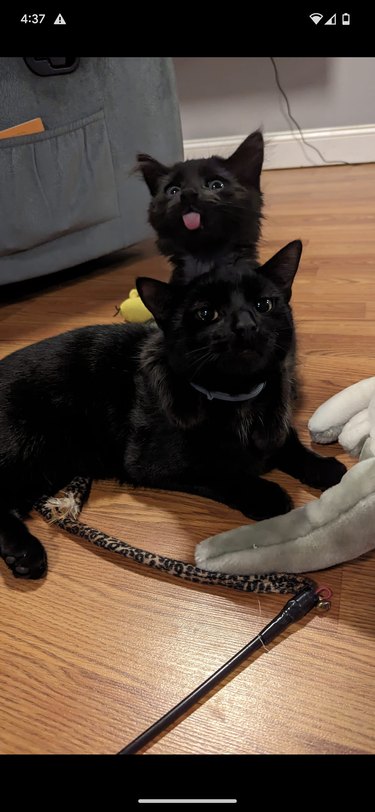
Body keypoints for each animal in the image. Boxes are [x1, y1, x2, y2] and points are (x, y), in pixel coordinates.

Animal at [0, 241, 346, 576]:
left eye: (264, 305)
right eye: (206, 313)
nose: (246, 325)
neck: (238, 397)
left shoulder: (274, 427)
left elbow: (289, 444)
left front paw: (324, 467)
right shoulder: (152, 462)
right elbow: (223, 471)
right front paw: (266, 494)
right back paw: (25, 553)